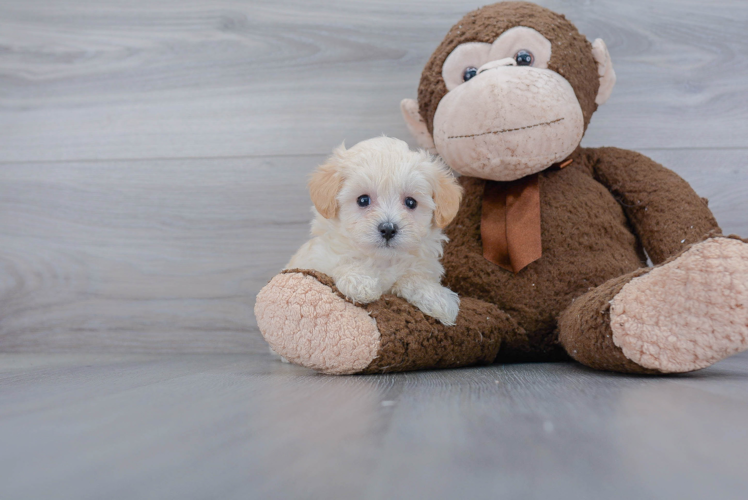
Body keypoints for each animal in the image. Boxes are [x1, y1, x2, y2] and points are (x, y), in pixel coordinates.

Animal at [284, 135, 462, 326]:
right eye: (363, 200)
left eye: (411, 202)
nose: (388, 229)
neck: (382, 260)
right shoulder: (318, 260)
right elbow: (341, 263)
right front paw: (360, 282)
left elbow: (416, 277)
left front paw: (438, 299)